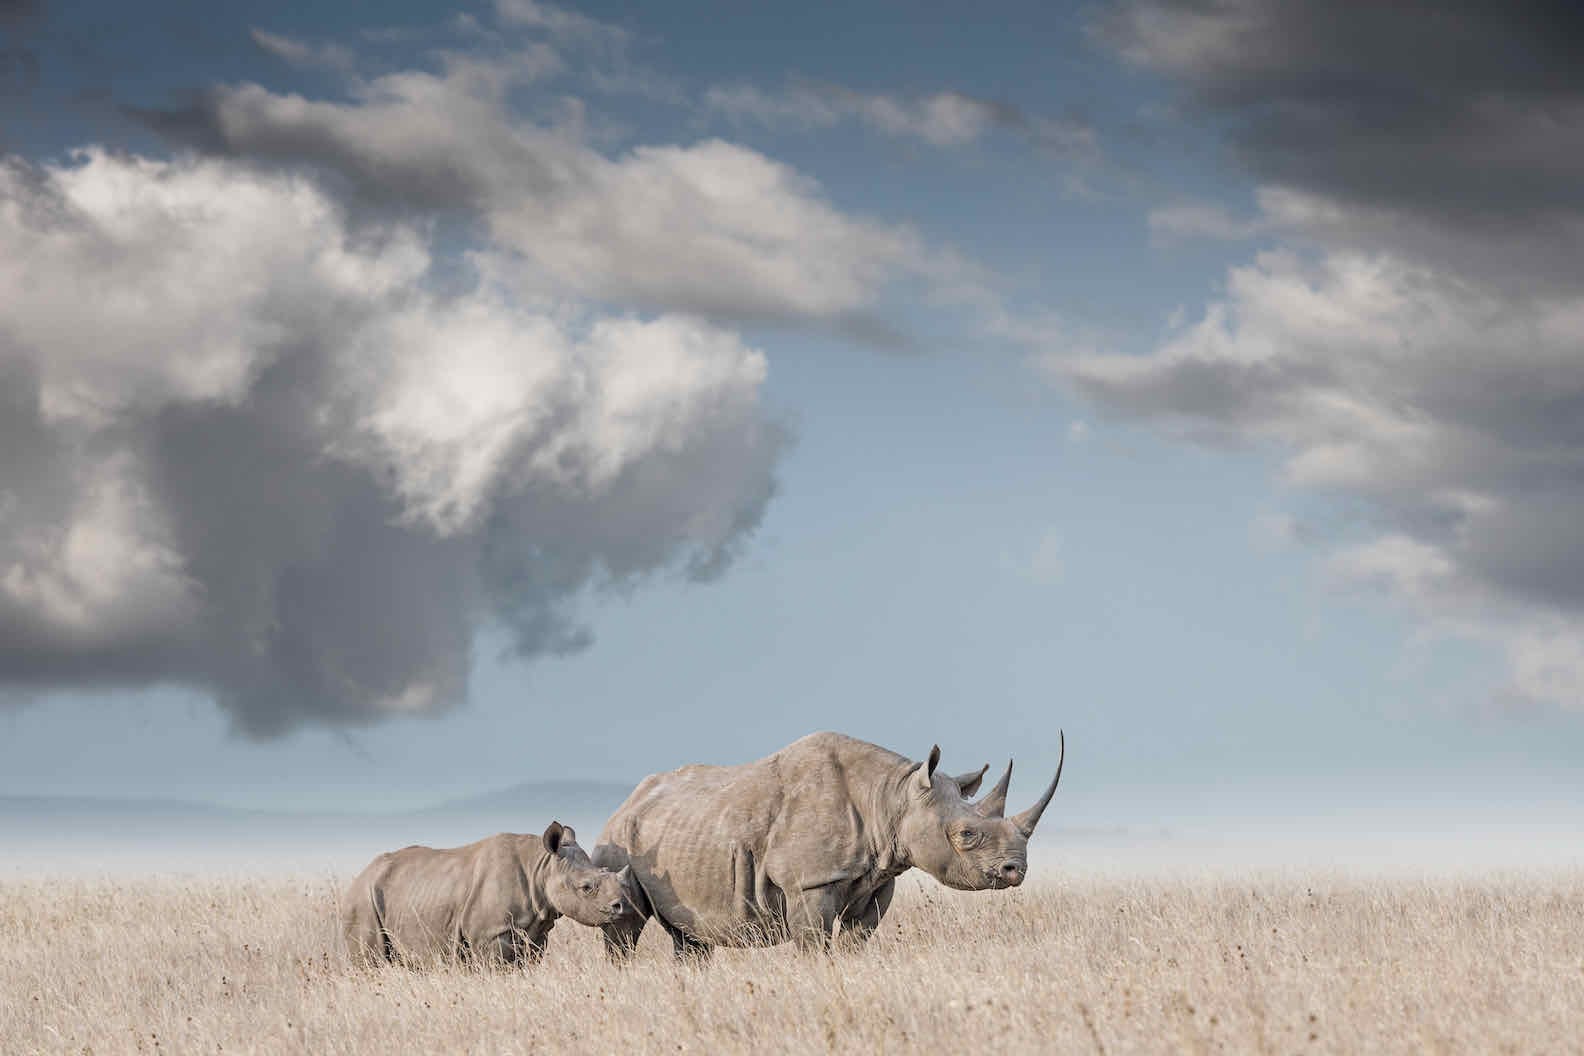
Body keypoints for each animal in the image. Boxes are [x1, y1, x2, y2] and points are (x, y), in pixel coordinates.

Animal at [342, 821, 632, 966]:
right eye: (587, 888)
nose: (621, 907)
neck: (541, 867)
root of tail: (360, 876)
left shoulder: (537, 932)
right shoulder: (490, 933)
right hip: (363, 899)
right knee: (372, 962)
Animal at [592, 730, 1063, 959]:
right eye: (967, 834)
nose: (1015, 871)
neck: (892, 796)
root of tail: (625, 802)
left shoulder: (877, 881)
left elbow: (857, 938)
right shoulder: (810, 883)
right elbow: (815, 943)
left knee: (690, 939)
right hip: (618, 842)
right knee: (623, 927)